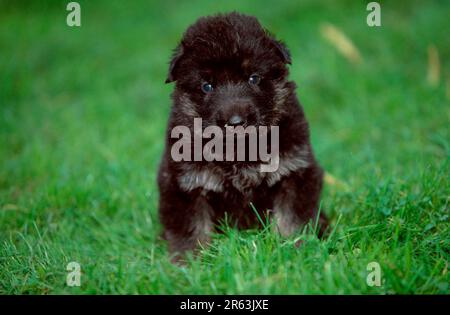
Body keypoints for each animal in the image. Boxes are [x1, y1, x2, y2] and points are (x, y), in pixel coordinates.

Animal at [158, 13, 326, 258]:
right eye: (207, 86)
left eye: (253, 78)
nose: (236, 122)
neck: (239, 152)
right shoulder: (184, 184)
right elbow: (191, 227)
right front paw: (190, 260)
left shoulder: (294, 171)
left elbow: (292, 218)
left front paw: (294, 248)